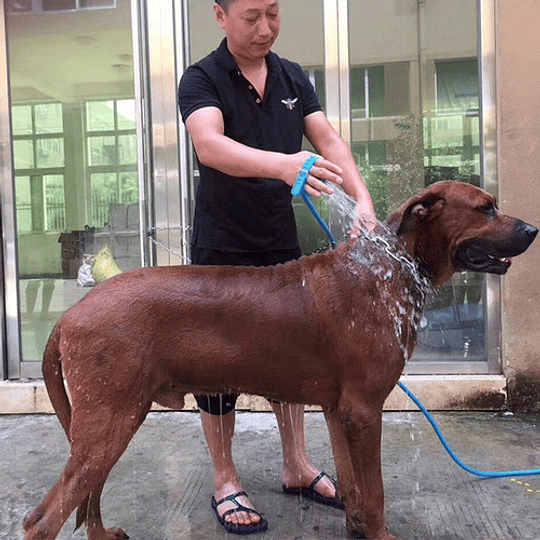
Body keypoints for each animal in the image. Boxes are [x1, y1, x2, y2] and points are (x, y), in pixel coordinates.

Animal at [24, 182, 536, 540]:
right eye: (485, 207)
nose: (532, 229)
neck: (390, 269)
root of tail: (68, 316)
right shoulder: (365, 410)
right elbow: (375, 491)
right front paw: (381, 533)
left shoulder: (339, 412)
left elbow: (355, 488)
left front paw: (356, 527)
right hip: (110, 420)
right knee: (42, 518)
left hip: (110, 422)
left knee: (83, 498)